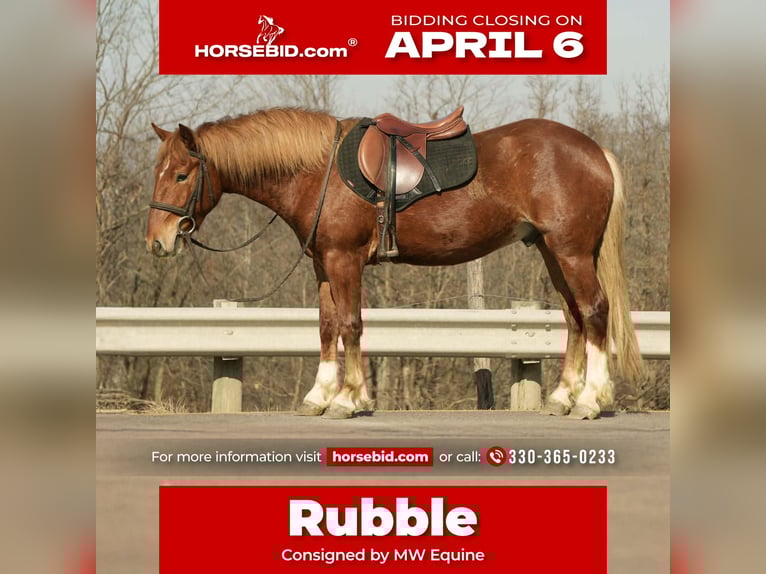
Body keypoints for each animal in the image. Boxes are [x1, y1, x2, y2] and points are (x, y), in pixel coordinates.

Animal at [146, 107, 643, 420]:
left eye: (182, 175)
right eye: (159, 172)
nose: (157, 242)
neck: (319, 172)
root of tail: (595, 151)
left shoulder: (344, 261)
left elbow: (350, 325)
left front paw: (348, 399)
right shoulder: (323, 265)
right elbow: (327, 327)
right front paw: (320, 396)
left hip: (571, 251)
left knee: (595, 311)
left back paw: (590, 400)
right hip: (551, 252)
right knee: (574, 316)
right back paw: (563, 397)